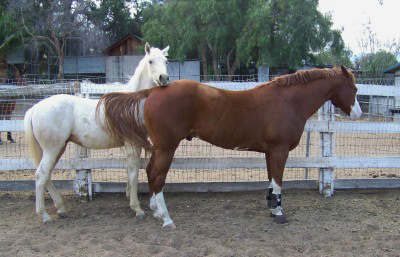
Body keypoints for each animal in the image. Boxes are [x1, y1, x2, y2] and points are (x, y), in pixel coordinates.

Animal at [24, 42, 170, 222]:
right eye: (150, 61)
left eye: (166, 61)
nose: (164, 78)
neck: (131, 105)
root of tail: (35, 108)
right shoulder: (132, 145)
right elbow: (134, 174)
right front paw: (137, 208)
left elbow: (129, 172)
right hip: (52, 150)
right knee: (41, 176)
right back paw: (44, 215)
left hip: (58, 149)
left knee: (47, 176)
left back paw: (61, 208)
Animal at [98, 65, 360, 227]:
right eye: (355, 88)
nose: (357, 113)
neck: (288, 101)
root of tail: (152, 91)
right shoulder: (279, 150)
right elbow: (277, 181)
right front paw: (278, 213)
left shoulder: (270, 152)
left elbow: (270, 181)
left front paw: (271, 208)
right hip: (167, 148)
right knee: (156, 176)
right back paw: (165, 218)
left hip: (161, 148)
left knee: (150, 172)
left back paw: (154, 209)